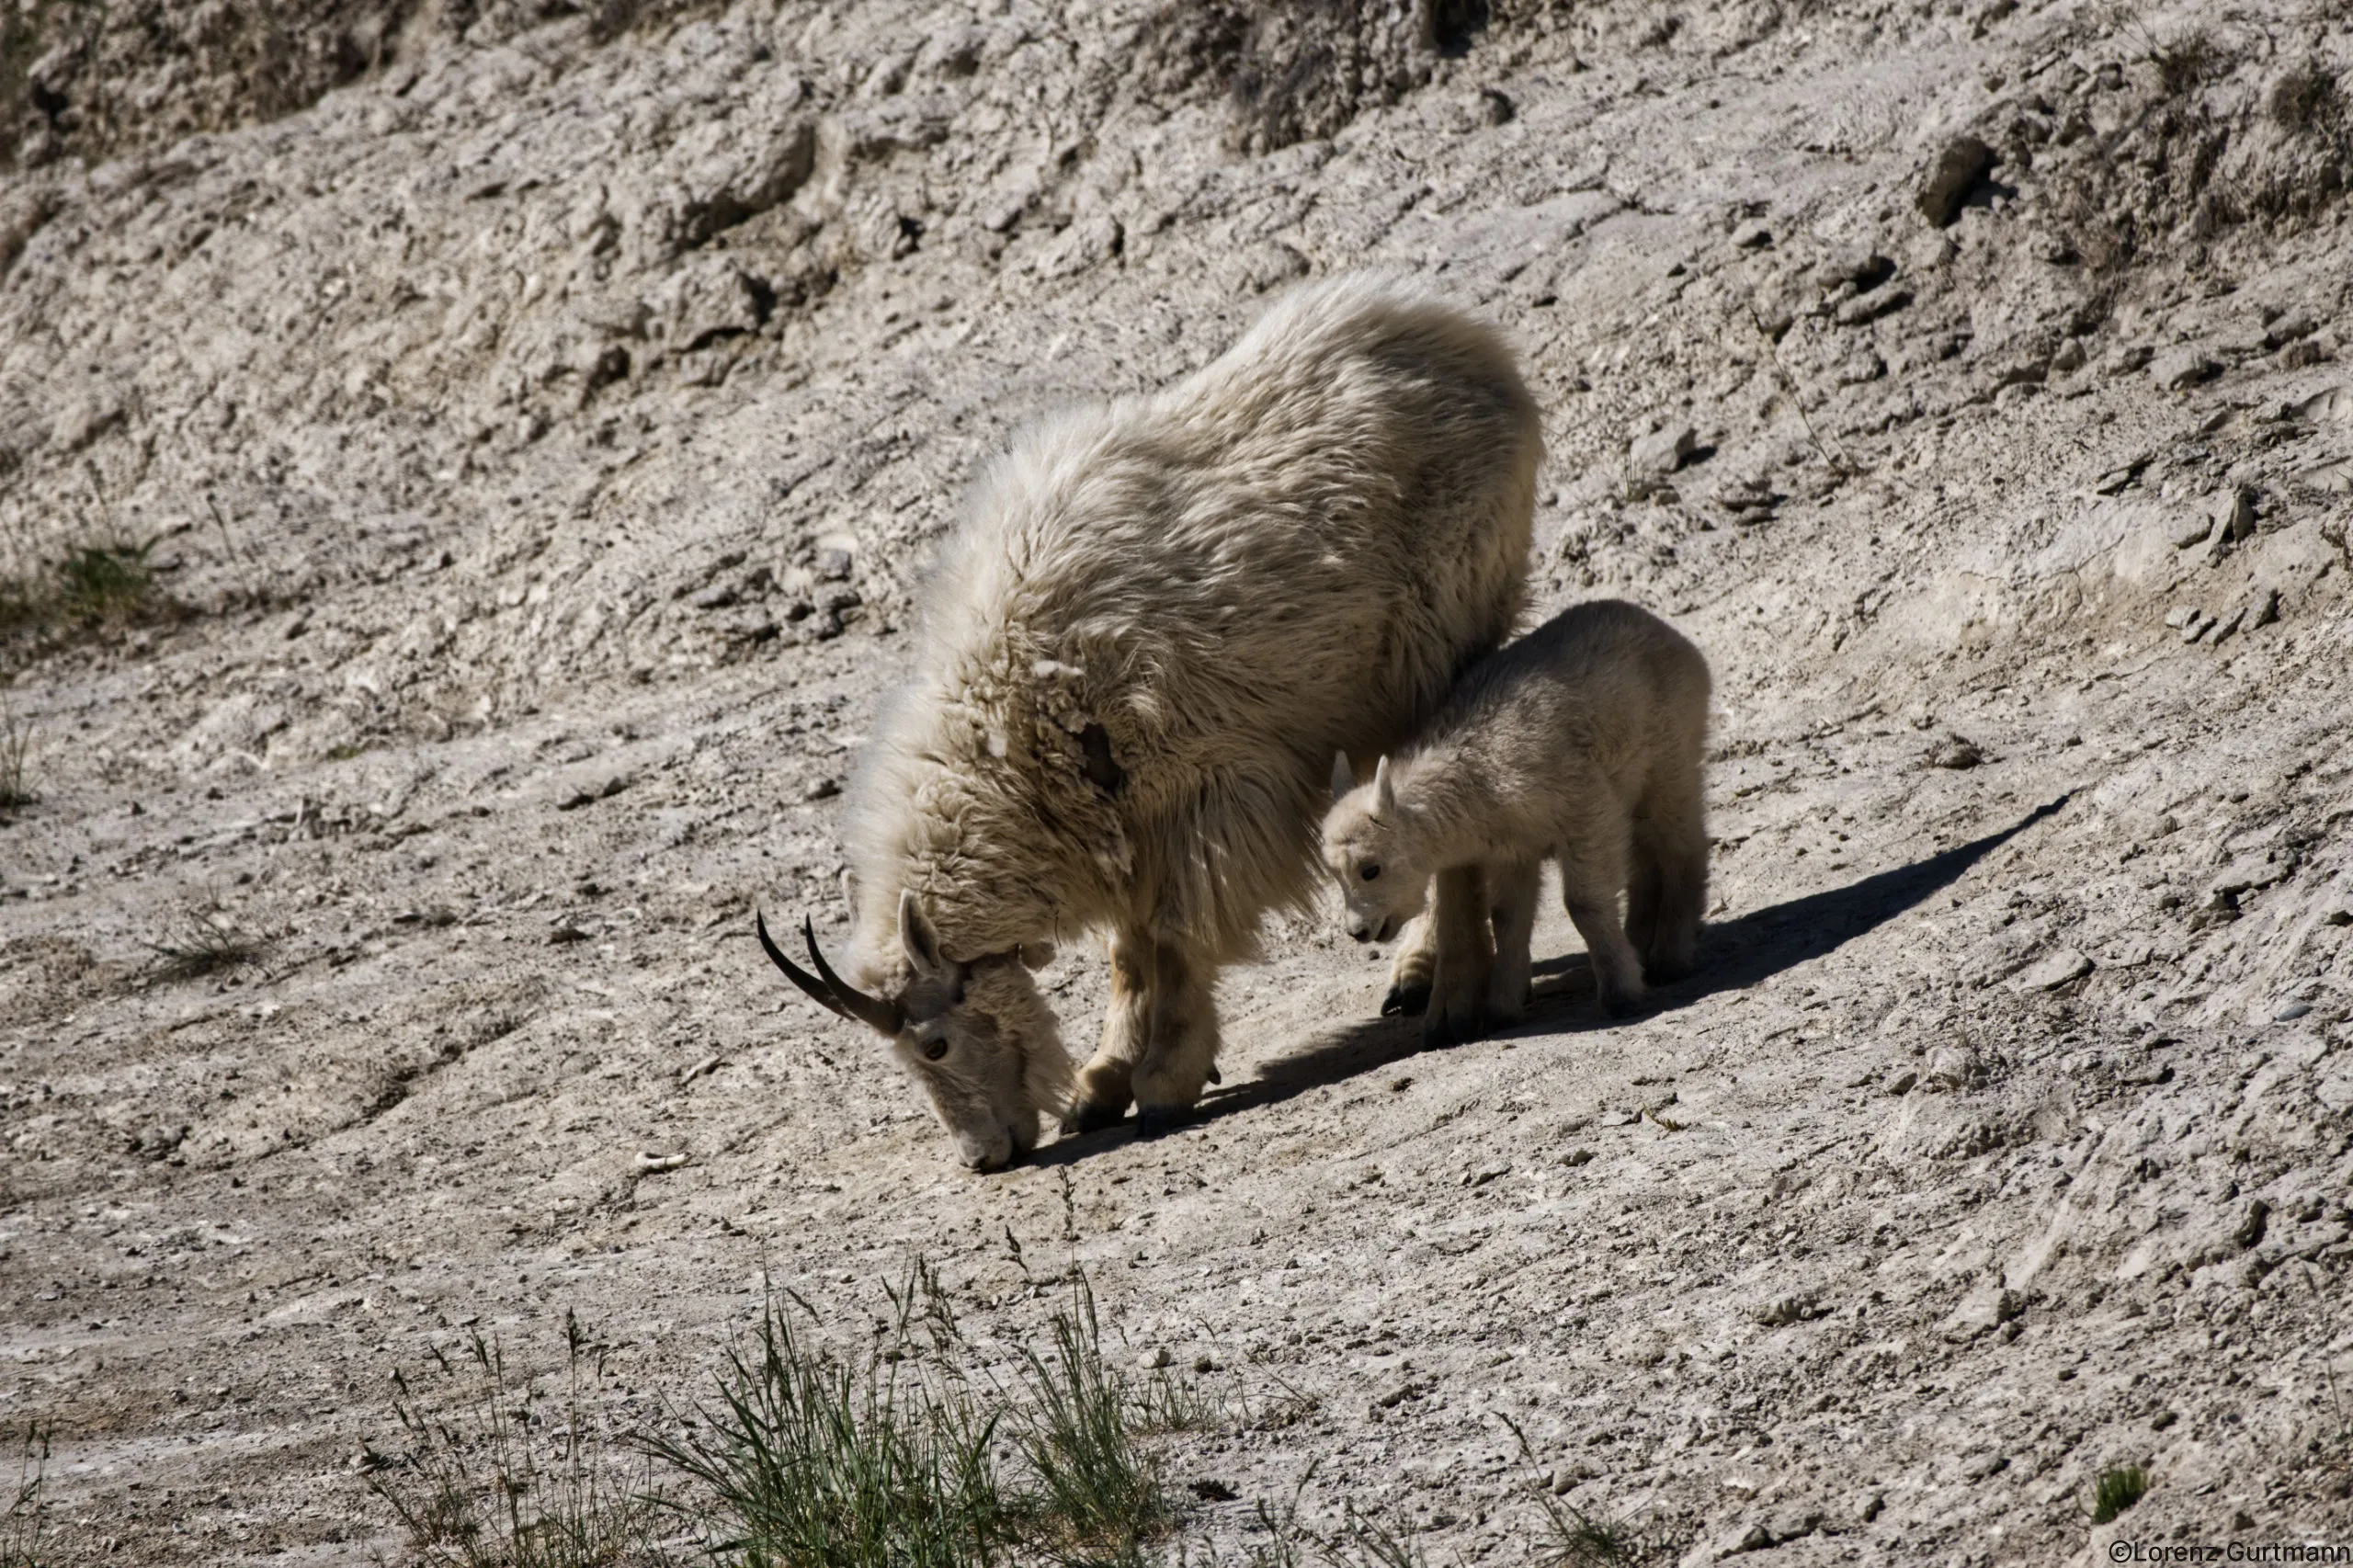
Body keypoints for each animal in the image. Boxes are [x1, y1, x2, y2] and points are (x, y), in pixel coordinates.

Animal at [762, 274, 1552, 1167]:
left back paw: (1425, 980)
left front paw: (1166, 1080)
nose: (982, 1156)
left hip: (1438, 642)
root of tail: (1474, 346)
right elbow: (1126, 955)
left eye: (933, 1042)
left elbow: (1174, 938)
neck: (1011, 719)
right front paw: (1099, 1086)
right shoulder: (1119, 827)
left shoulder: (1205, 793)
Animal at [1326, 596, 1712, 1026]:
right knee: (1645, 860)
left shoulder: (1585, 811)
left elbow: (1584, 904)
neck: (1479, 774)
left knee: (1683, 846)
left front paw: (1621, 993)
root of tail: (1670, 633)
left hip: (1670, 764)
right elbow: (1506, 917)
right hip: (1633, 794)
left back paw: (1670, 955)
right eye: (1334, 875)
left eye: (1371, 869)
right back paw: (1640, 944)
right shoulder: (1514, 849)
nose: (1358, 931)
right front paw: (1502, 1008)